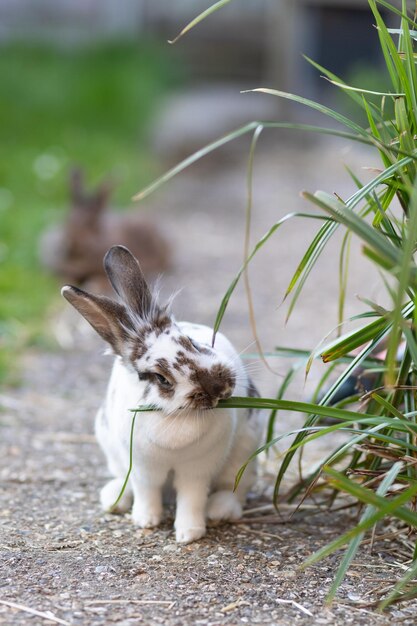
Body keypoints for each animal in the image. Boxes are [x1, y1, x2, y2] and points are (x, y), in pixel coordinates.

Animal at [61, 244, 264, 540]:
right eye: (161, 379)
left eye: (192, 342)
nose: (218, 389)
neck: (174, 416)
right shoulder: (143, 468)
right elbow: (147, 492)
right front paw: (146, 521)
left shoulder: (197, 470)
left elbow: (192, 498)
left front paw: (189, 533)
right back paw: (114, 499)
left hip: (245, 453)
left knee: (236, 488)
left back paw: (219, 510)